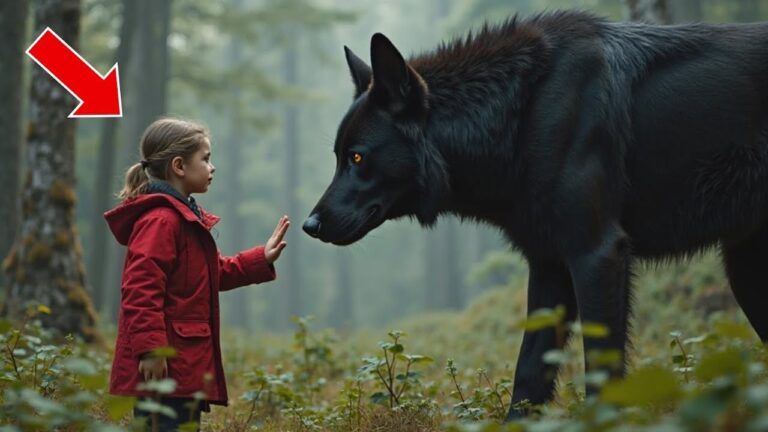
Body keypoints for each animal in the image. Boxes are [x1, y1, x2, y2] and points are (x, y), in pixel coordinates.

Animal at [302, 11, 768, 419]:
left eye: (358, 157)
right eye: (338, 157)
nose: (309, 225)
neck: (521, 116)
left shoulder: (597, 254)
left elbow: (600, 372)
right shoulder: (547, 265)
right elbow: (528, 372)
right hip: (744, 272)